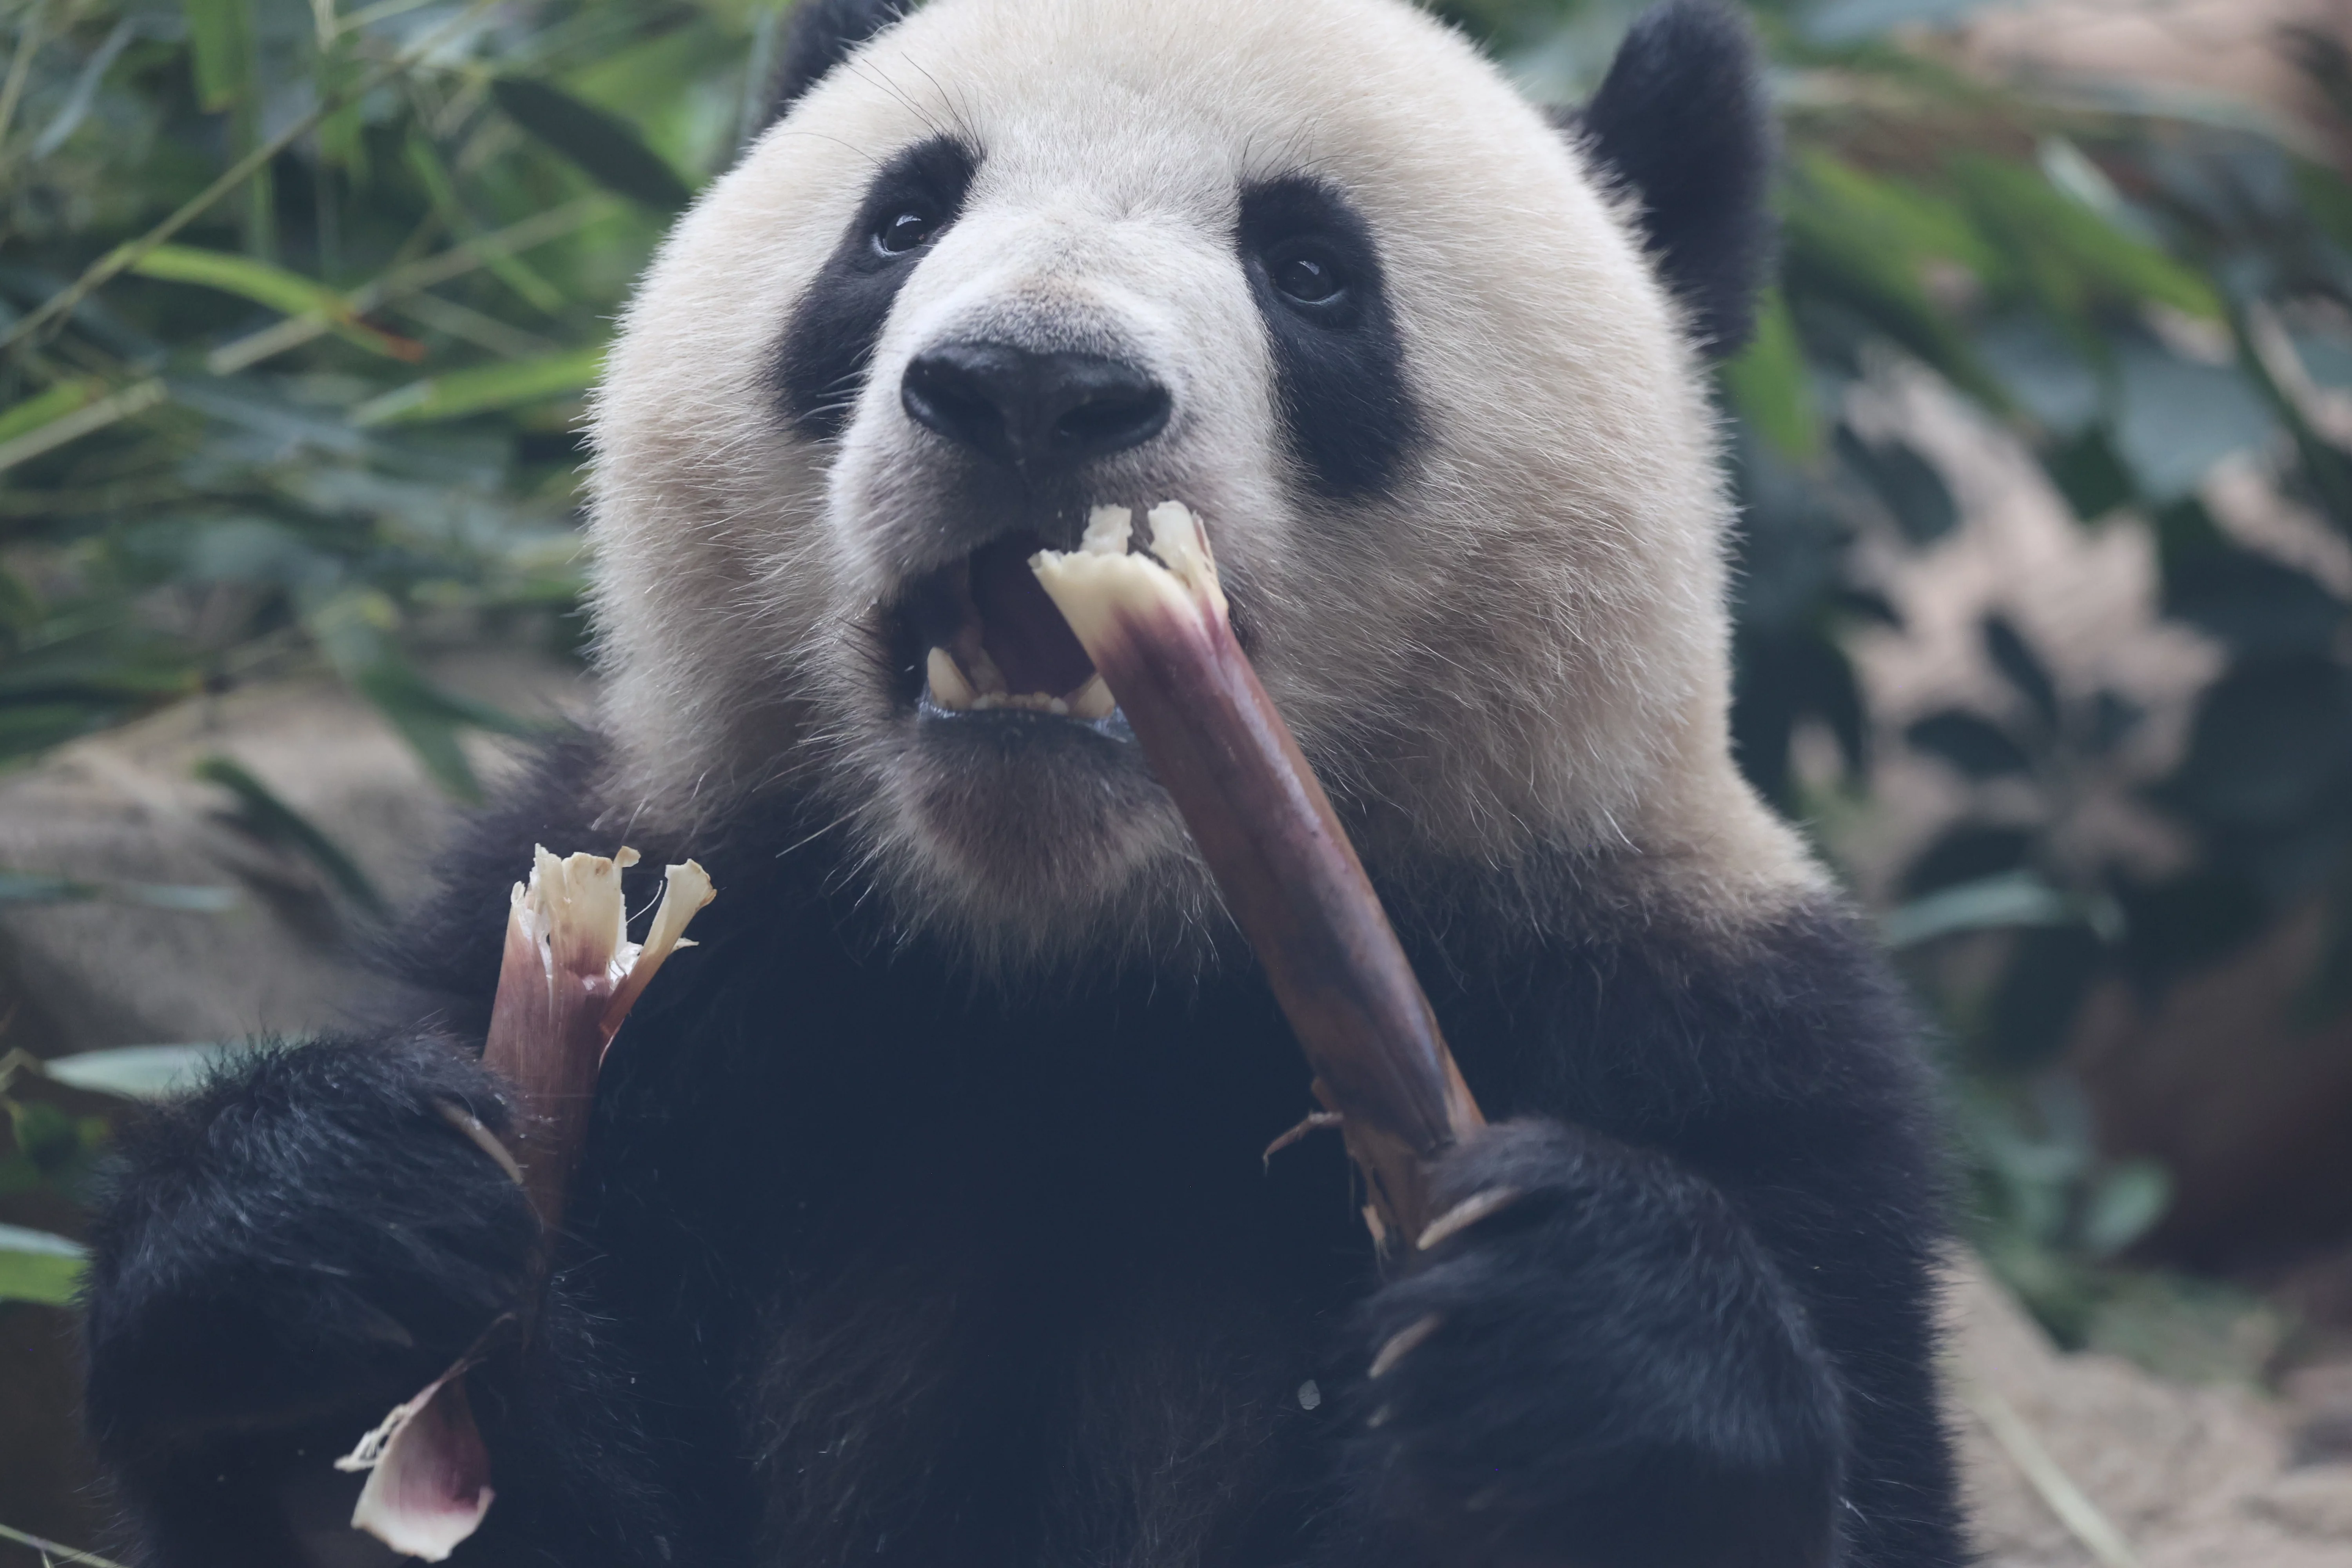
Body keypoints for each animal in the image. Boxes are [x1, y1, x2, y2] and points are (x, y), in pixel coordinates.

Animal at [79, 1, 1967, 1565]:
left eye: (1311, 267)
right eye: (901, 221)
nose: (1031, 384)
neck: (1074, 955)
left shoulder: (1708, 1024)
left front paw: (1586, 1357)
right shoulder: (686, 946)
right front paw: (323, 1251)